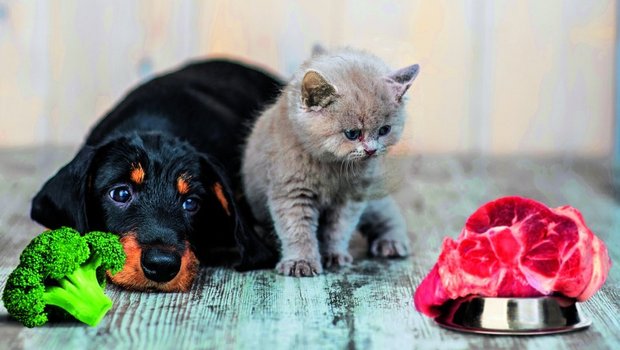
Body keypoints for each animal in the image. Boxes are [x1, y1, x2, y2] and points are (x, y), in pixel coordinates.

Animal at [240, 47, 418, 276]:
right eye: (352, 133)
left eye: (384, 130)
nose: (371, 150)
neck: (331, 168)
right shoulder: (291, 191)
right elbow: (296, 229)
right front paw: (301, 262)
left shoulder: (352, 197)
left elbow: (339, 228)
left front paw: (334, 255)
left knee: (387, 212)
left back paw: (392, 242)